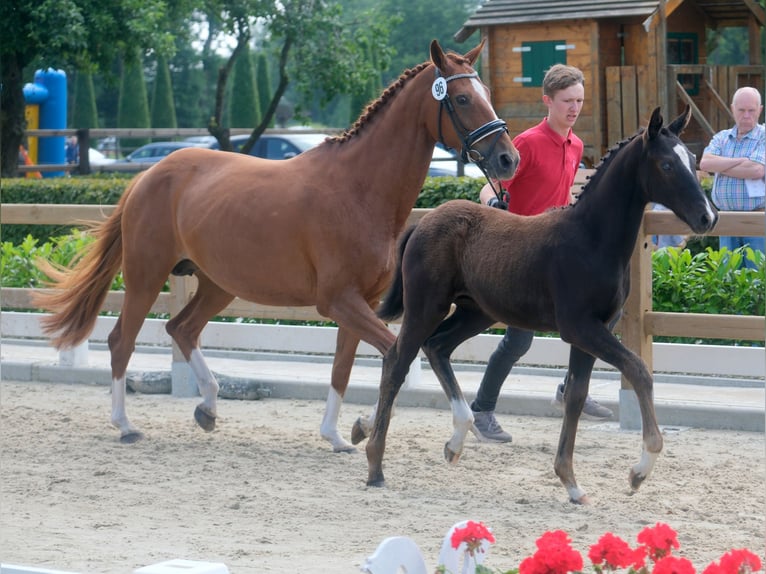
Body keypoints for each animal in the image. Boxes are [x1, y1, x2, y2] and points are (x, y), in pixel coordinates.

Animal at [33, 42, 520, 452]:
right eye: (461, 99)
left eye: (486, 93)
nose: (508, 159)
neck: (360, 189)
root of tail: (147, 176)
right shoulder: (338, 301)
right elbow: (396, 353)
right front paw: (377, 426)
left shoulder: (359, 302)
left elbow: (346, 367)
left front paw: (339, 435)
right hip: (145, 275)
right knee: (122, 340)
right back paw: (126, 425)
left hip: (217, 284)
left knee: (182, 330)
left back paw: (208, 407)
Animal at [360, 107, 720, 504]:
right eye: (667, 164)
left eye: (693, 161)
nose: (708, 217)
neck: (591, 239)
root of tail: (424, 221)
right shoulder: (579, 327)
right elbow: (638, 370)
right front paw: (640, 470)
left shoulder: (595, 330)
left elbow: (576, 395)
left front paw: (571, 483)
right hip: (426, 306)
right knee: (397, 360)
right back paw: (375, 464)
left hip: (475, 311)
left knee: (437, 346)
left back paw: (455, 440)